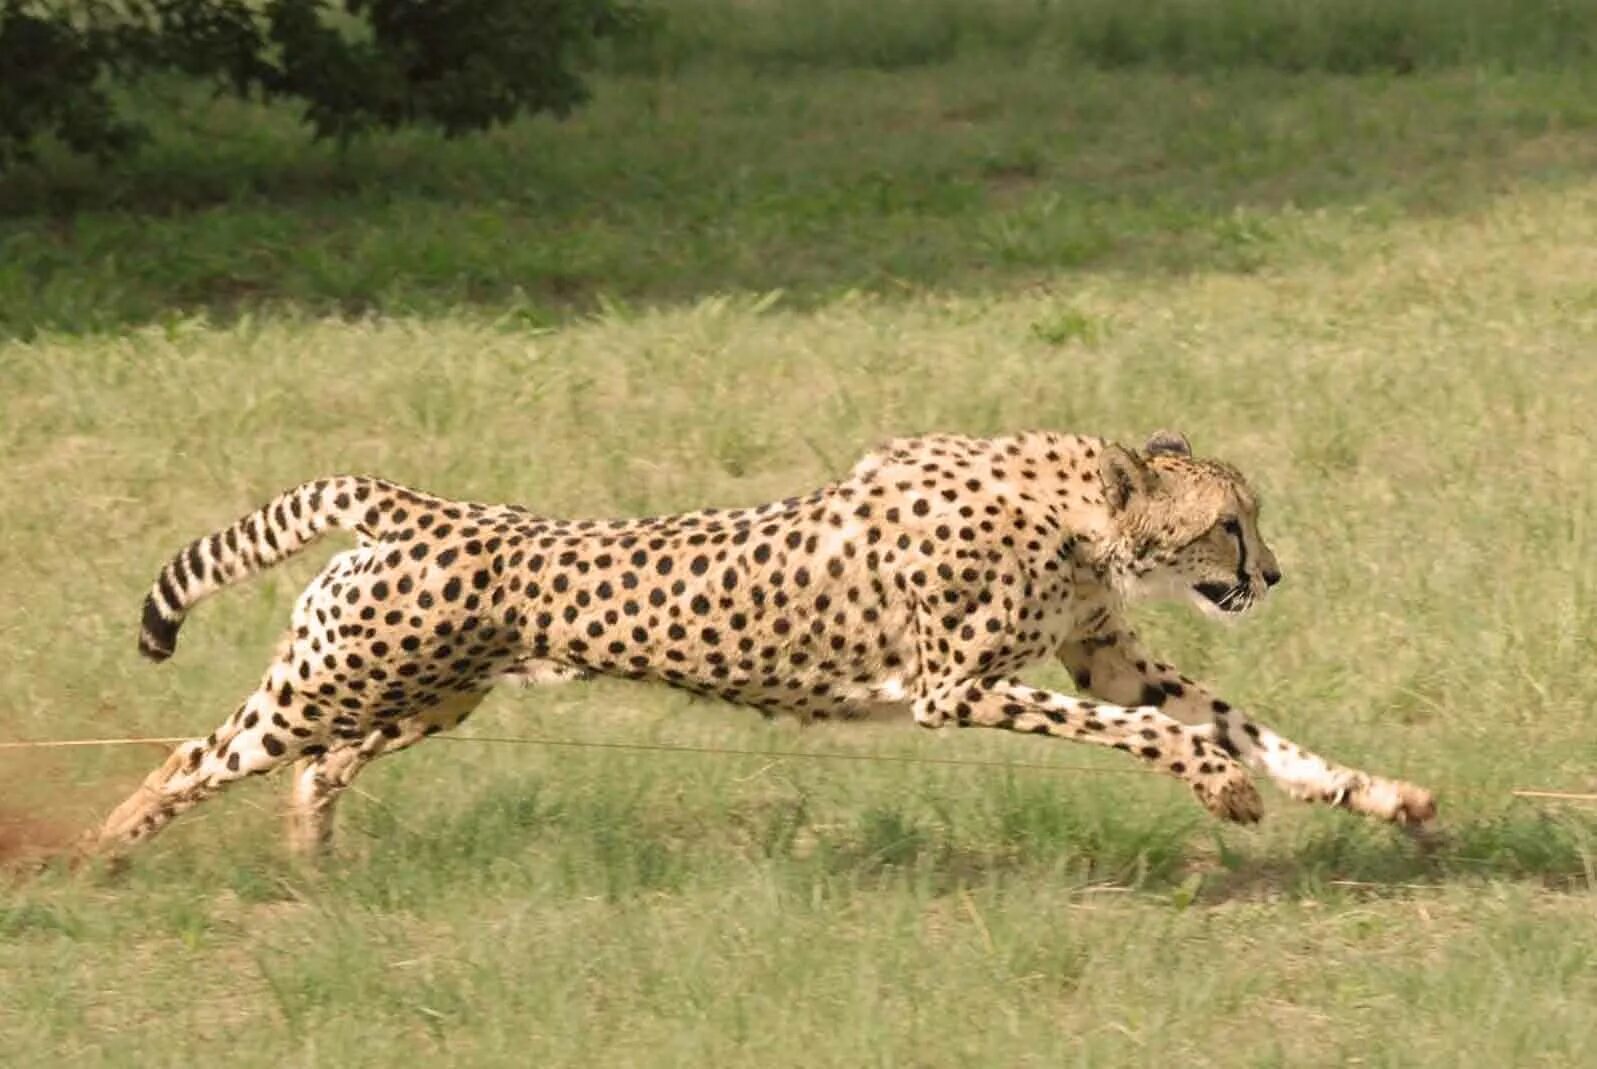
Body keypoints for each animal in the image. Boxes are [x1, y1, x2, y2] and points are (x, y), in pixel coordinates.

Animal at [84, 428, 1437, 862]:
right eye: (1227, 524)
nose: (1271, 572)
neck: (1075, 507)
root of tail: (421, 504)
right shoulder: (957, 690)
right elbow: (1140, 733)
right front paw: (1216, 788)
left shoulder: (1107, 654)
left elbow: (1246, 725)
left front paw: (1379, 795)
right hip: (336, 681)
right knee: (199, 753)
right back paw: (98, 857)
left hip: (431, 692)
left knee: (317, 767)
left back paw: (313, 855)